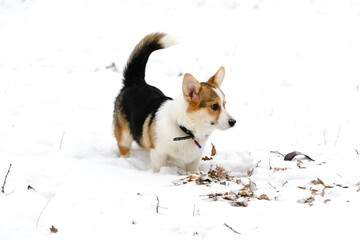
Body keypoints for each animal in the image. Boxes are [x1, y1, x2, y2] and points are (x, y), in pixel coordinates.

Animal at [113, 32, 236, 173]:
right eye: (214, 106)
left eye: (225, 104)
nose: (234, 122)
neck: (186, 130)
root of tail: (135, 82)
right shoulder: (158, 154)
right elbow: (158, 169)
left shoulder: (194, 161)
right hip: (124, 138)